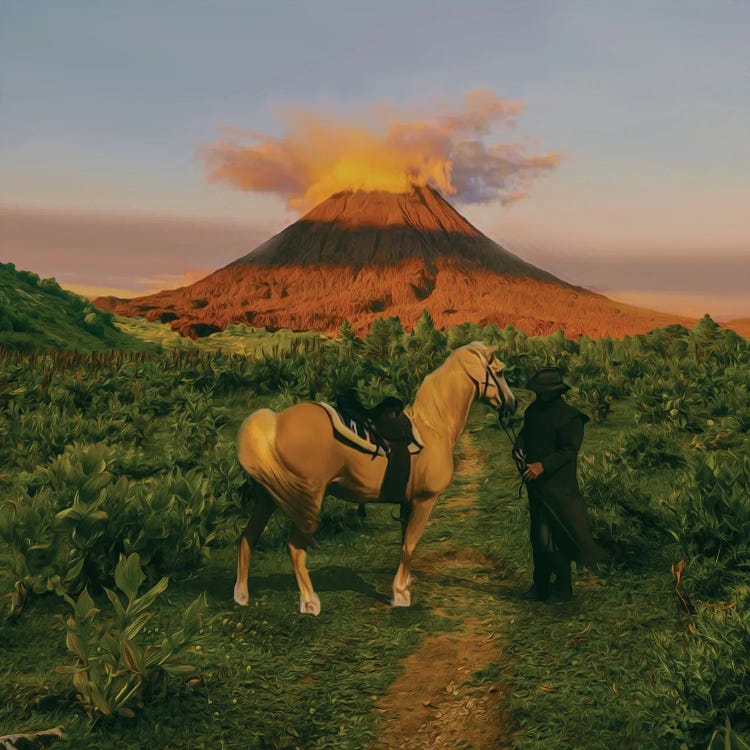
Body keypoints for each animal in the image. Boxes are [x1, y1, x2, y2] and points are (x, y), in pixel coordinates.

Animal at [234, 340, 516, 616]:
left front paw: (404, 585)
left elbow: (404, 545)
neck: (434, 427)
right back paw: (310, 602)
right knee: (294, 548)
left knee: (247, 538)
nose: (512, 405)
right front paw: (400, 595)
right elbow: (410, 545)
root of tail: (274, 422)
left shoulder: (408, 503)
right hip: (306, 501)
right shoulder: (424, 501)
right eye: (500, 372)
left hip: (268, 498)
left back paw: (242, 596)